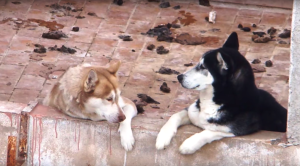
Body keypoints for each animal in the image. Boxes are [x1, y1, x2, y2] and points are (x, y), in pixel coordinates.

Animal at [156, 32, 288, 154]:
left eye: (203, 67)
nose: (179, 77)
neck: (218, 101)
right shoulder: (191, 111)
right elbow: (174, 116)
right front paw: (162, 137)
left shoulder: (235, 129)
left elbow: (210, 131)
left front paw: (189, 144)